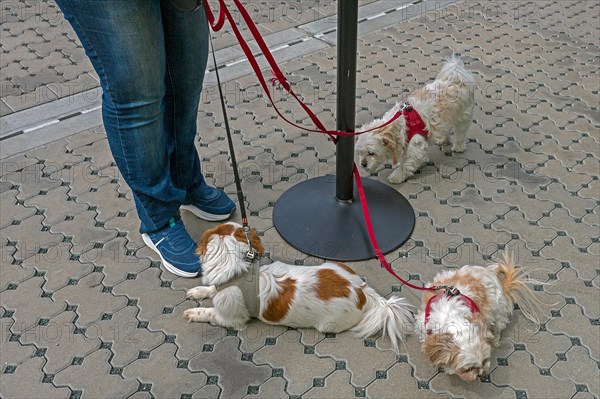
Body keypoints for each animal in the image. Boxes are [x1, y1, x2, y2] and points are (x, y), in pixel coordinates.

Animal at [183, 223, 414, 352]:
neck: (240, 273)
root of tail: (363, 291)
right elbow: (212, 288)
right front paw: (199, 291)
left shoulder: (231, 319)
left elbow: (210, 313)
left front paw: (194, 312)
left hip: (328, 324)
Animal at [354, 55, 476, 184]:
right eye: (359, 153)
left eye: (371, 153)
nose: (363, 164)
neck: (400, 125)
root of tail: (457, 80)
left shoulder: (416, 146)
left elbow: (407, 164)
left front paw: (396, 176)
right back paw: (443, 139)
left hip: (463, 117)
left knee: (460, 133)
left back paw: (458, 147)